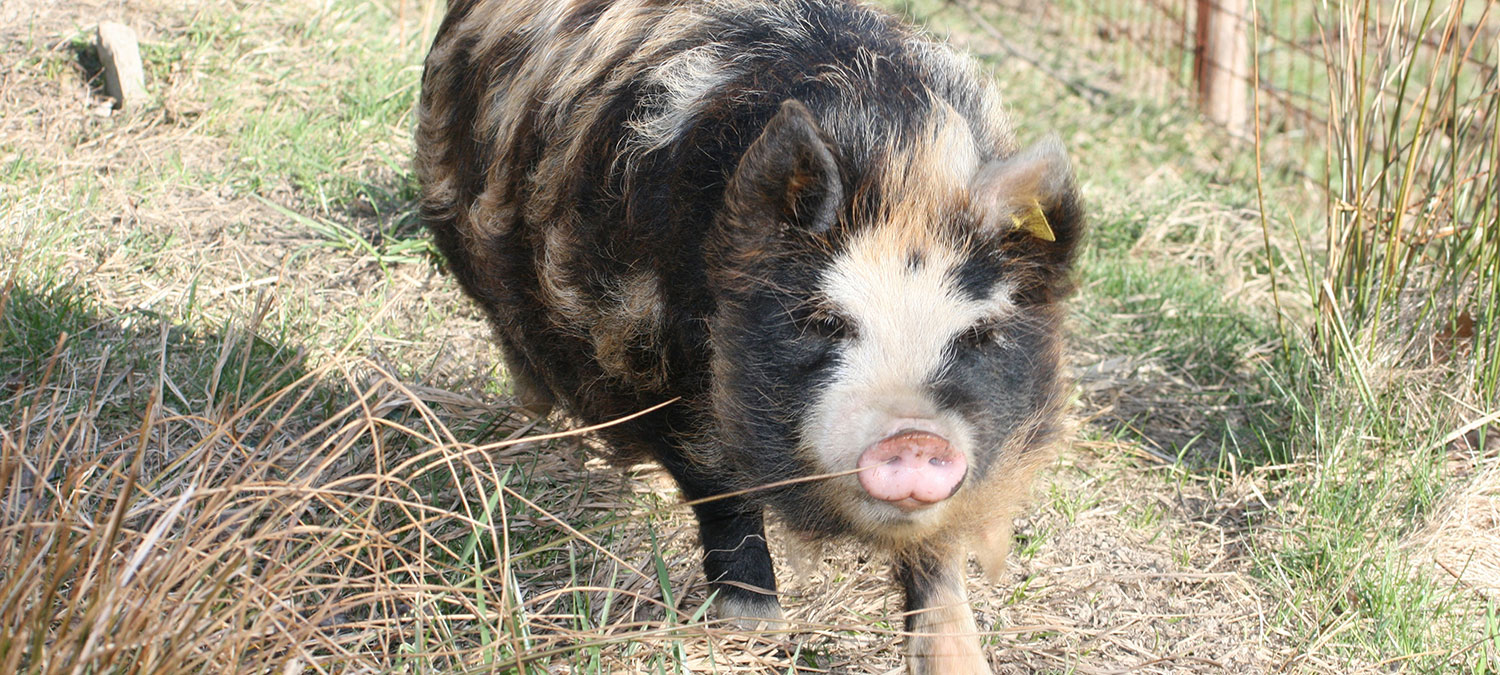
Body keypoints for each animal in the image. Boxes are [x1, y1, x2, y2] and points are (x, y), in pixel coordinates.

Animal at [415, 0, 1083, 672]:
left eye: (978, 334)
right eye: (824, 320)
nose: (915, 437)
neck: (900, 167)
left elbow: (938, 551)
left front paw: (960, 659)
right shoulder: (660, 358)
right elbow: (721, 492)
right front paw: (755, 633)